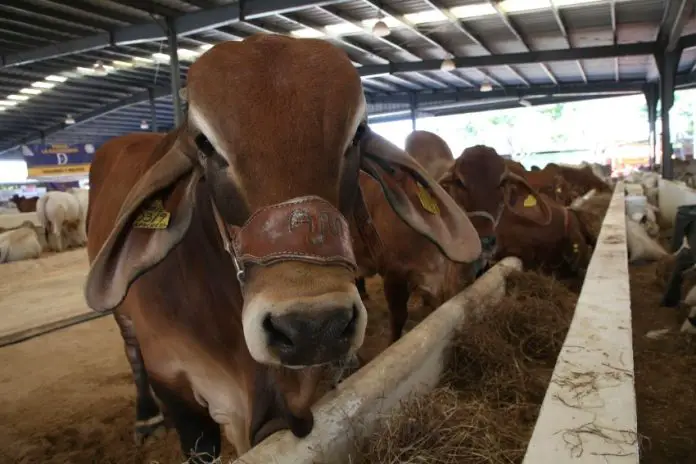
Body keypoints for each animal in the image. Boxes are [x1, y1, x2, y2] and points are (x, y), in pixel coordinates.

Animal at [84, 35, 482, 460]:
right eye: (204, 144)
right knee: (131, 352)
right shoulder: (177, 388)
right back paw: (146, 418)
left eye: (357, 134)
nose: (313, 327)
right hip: (123, 320)